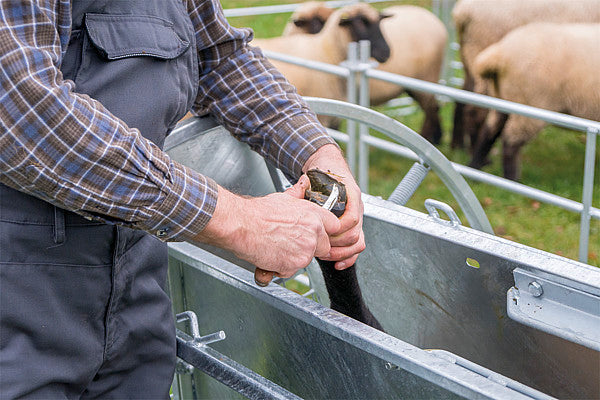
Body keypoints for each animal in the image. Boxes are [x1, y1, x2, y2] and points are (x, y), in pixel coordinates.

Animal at [251, 2, 392, 128]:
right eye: (359, 23)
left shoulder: (335, 119)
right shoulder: (324, 118)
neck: (325, 50)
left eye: (379, 22)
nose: (386, 52)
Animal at [280, 3, 446, 145]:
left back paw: (430, 138)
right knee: (433, 108)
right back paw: (435, 138)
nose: (386, 52)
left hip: (426, 78)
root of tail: (433, 19)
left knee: (431, 108)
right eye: (359, 24)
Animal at [450, 0, 600, 152]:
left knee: (462, 98)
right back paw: (474, 150)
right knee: (477, 112)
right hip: (484, 52)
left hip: (469, 57)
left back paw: (457, 145)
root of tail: (464, 11)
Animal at [468, 22, 600, 182]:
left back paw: (475, 168)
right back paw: (512, 180)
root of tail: (500, 54)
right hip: (531, 104)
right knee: (510, 141)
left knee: (489, 131)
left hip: (503, 99)